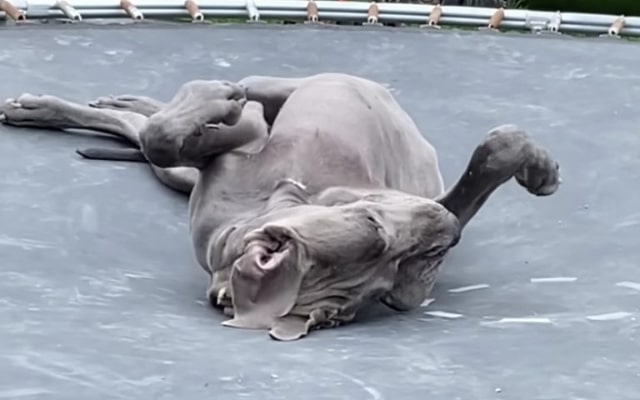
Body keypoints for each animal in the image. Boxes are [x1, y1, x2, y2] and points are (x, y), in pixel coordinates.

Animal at [0, 72, 560, 340]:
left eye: (402, 271)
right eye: (372, 229)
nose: (447, 232)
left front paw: (533, 166)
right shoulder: (234, 144)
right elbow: (169, 134)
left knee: (154, 128)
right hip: (264, 101)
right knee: (167, 122)